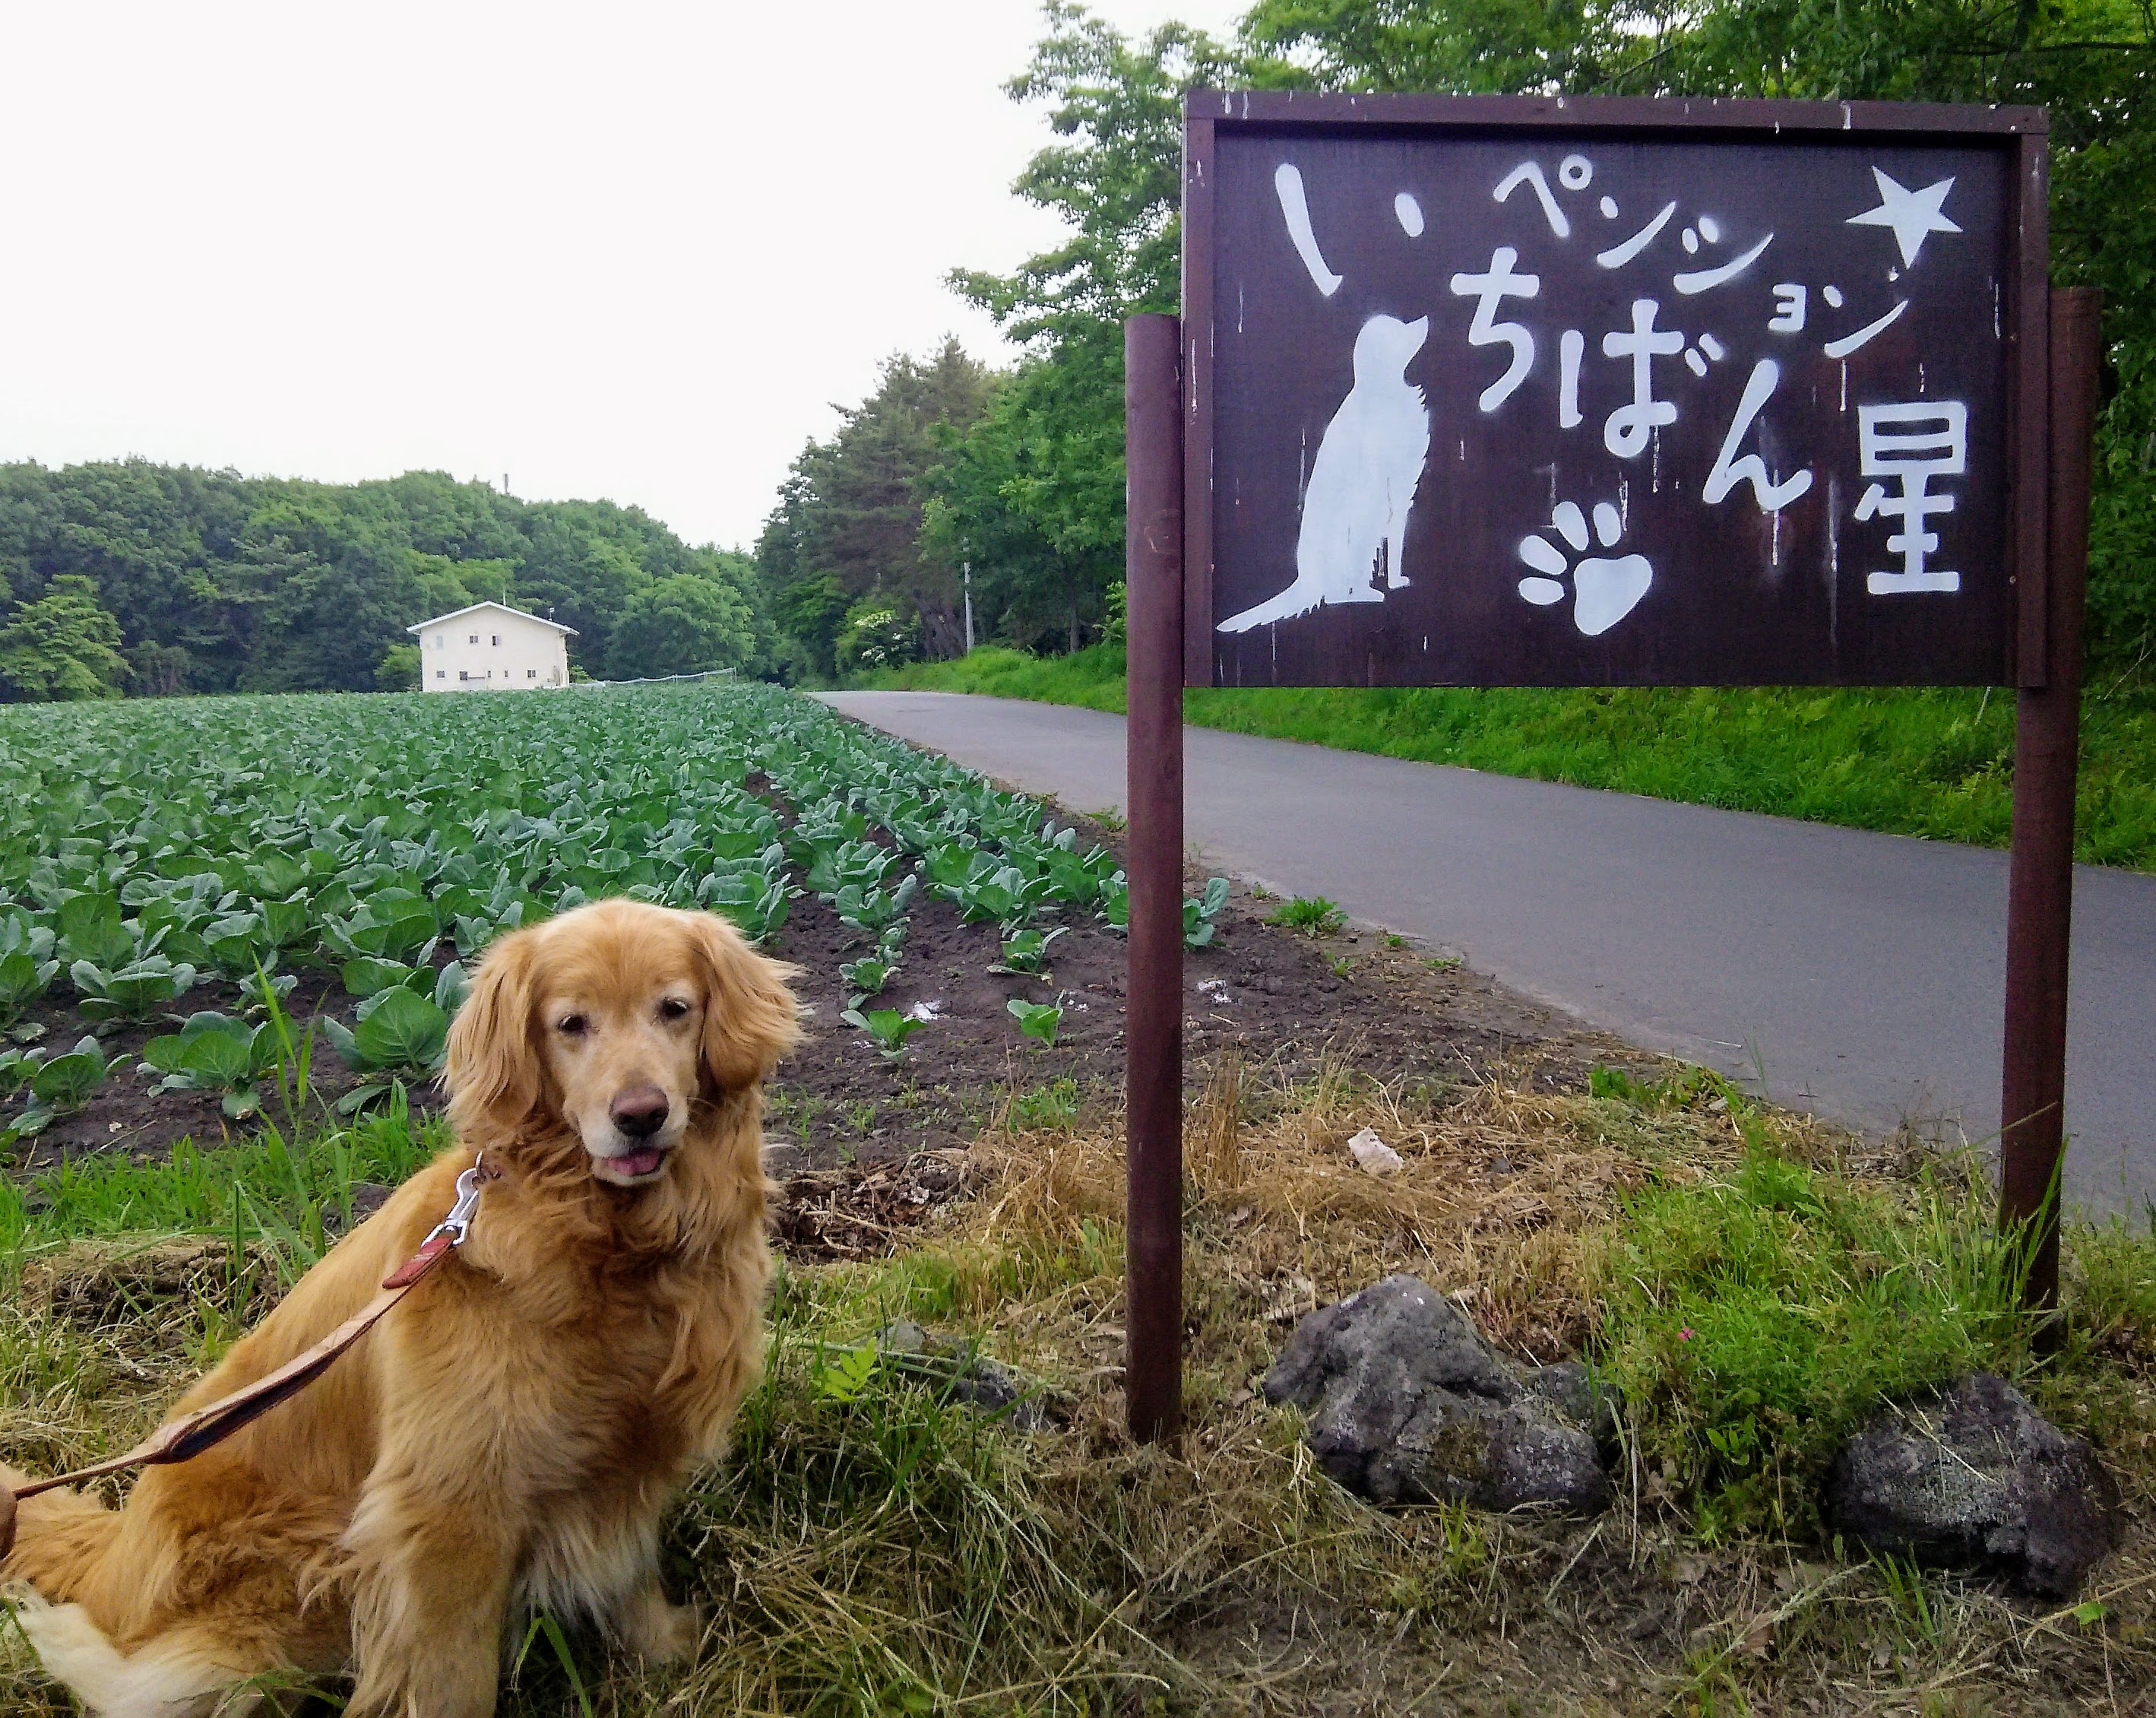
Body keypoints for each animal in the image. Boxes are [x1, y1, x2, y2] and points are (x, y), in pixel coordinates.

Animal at [4, 896, 806, 1716]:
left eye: (674, 1008)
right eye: (570, 1024)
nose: (640, 1114)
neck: (611, 1245)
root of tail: (111, 1559)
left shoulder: (629, 1450)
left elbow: (630, 1565)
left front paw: (664, 1651)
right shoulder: (446, 1509)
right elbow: (454, 1671)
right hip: (288, 1577)